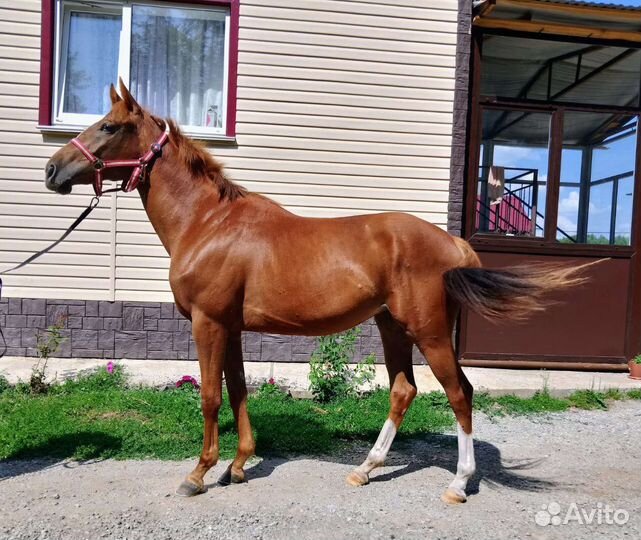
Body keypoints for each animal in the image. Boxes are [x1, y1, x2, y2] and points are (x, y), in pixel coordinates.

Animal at [44, 81, 587, 504]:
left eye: (109, 127)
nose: (53, 170)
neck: (209, 223)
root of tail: (454, 243)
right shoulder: (232, 327)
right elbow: (239, 391)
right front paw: (238, 467)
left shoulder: (208, 322)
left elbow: (211, 398)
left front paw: (198, 474)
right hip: (392, 326)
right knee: (403, 390)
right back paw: (365, 469)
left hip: (428, 331)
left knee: (459, 393)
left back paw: (457, 483)